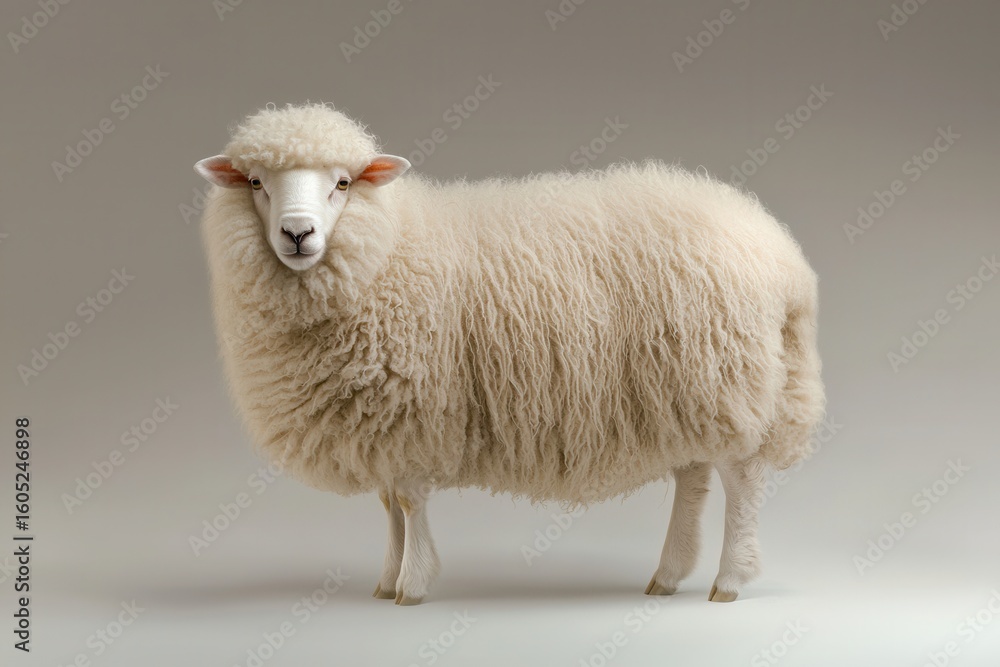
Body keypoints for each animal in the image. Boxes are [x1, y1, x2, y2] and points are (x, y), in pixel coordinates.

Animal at [194, 103, 824, 606]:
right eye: (255, 182)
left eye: (343, 184)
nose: (297, 234)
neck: (389, 249)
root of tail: (783, 257)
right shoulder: (381, 423)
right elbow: (389, 506)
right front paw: (386, 579)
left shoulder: (413, 409)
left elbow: (408, 501)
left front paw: (412, 585)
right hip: (689, 386)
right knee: (694, 477)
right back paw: (668, 575)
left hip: (732, 378)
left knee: (742, 480)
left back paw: (729, 581)